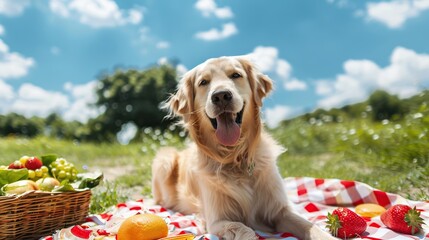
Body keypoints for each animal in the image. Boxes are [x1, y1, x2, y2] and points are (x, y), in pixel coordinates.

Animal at [150, 56, 334, 240]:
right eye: (203, 82)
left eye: (235, 75)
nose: (221, 96)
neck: (235, 158)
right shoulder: (217, 221)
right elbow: (244, 229)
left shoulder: (280, 210)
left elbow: (309, 226)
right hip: (165, 160)